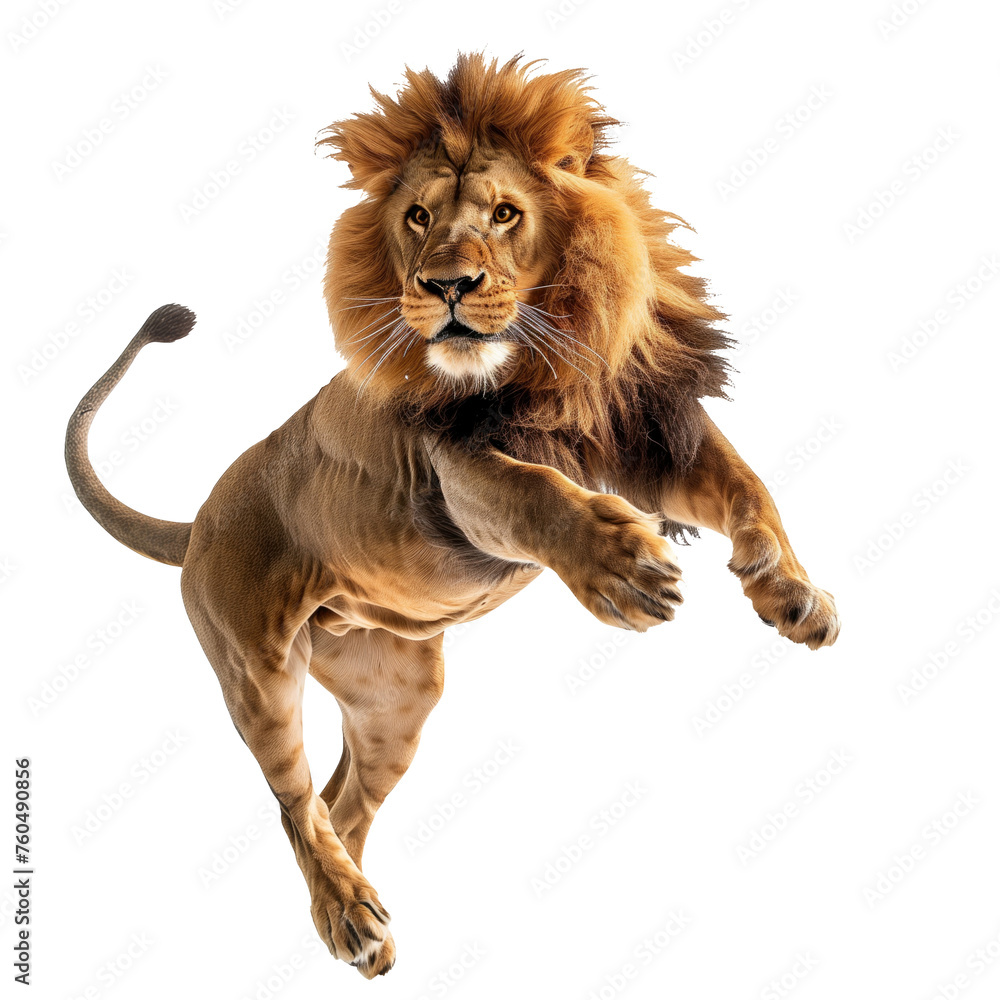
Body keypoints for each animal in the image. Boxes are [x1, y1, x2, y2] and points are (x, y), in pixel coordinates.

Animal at [65, 53, 840, 978]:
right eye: (419, 218)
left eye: (505, 215)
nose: (445, 287)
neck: (544, 364)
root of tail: (200, 520)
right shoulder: (460, 473)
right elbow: (538, 497)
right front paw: (625, 572)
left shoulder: (640, 434)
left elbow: (749, 487)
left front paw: (793, 596)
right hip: (257, 673)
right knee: (294, 803)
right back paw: (350, 915)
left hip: (397, 695)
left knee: (340, 806)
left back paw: (356, 917)